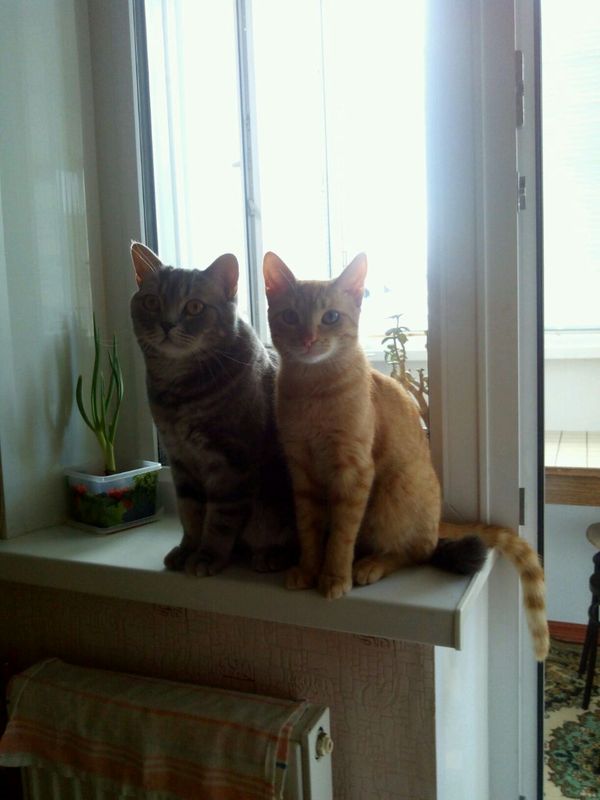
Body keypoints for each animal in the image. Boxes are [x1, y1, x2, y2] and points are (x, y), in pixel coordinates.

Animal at [130, 242, 296, 576]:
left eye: (194, 307)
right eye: (152, 302)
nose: (167, 324)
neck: (179, 394)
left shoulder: (231, 463)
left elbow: (220, 520)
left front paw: (207, 556)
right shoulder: (180, 459)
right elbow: (190, 512)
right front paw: (187, 550)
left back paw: (272, 555)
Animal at [263, 250, 549, 661]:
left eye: (330, 317)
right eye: (289, 316)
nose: (308, 338)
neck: (312, 391)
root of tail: (439, 520)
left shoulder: (353, 473)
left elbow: (341, 535)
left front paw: (333, 575)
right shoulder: (301, 471)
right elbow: (310, 529)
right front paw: (308, 566)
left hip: (392, 493)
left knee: (416, 551)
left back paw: (370, 564)